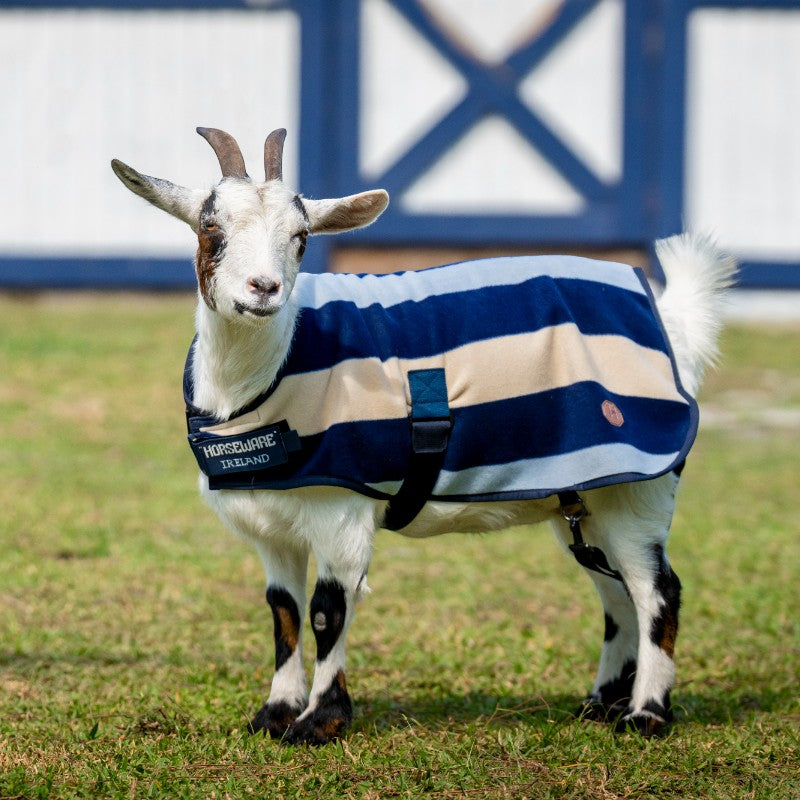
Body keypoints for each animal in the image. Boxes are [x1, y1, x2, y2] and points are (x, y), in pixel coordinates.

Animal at [111, 127, 735, 746]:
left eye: (301, 237)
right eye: (210, 227)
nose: (263, 288)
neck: (268, 374)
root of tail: (671, 326)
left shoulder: (341, 511)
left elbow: (326, 610)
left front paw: (320, 721)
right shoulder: (273, 525)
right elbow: (281, 610)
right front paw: (275, 714)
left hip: (638, 490)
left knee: (657, 590)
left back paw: (646, 713)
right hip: (583, 497)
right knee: (614, 589)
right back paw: (601, 703)